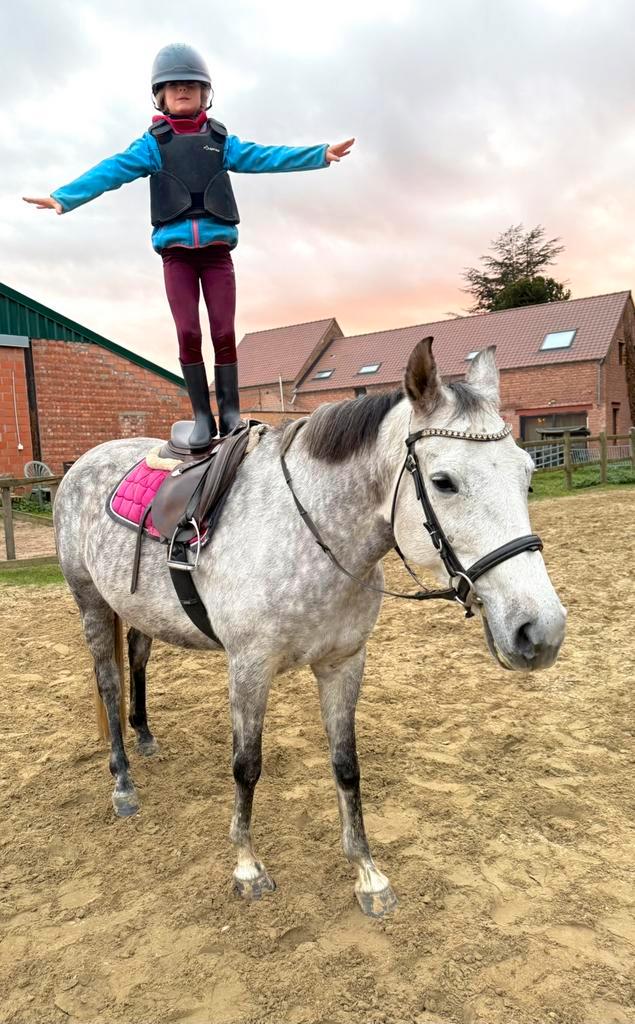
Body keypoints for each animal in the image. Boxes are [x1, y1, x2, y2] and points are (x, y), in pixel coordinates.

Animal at [53, 338, 566, 917]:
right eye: (443, 482)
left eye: (527, 475)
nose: (540, 630)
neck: (313, 533)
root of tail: (83, 464)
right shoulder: (249, 667)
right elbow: (246, 765)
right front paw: (248, 868)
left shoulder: (343, 663)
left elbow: (346, 765)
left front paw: (368, 875)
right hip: (91, 602)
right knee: (109, 682)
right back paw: (122, 782)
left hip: (138, 608)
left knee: (137, 659)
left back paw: (144, 735)